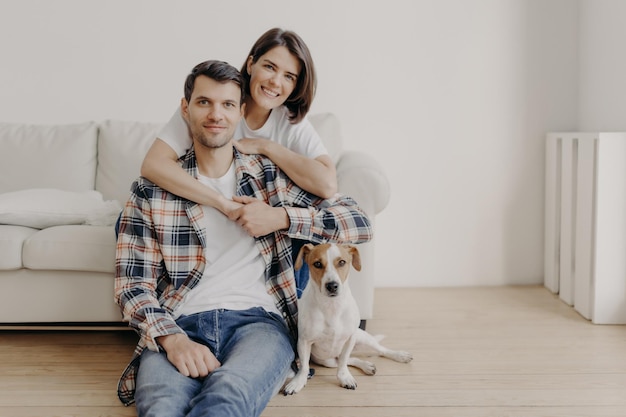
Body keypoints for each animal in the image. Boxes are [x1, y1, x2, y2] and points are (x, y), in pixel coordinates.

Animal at [282, 240, 410, 394]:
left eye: (342, 262)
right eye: (317, 264)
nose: (332, 286)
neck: (331, 307)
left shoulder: (350, 338)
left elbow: (343, 362)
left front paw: (345, 377)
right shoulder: (304, 342)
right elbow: (305, 366)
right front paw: (298, 382)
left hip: (362, 337)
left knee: (379, 350)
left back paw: (399, 356)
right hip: (327, 360)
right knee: (350, 359)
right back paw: (367, 366)